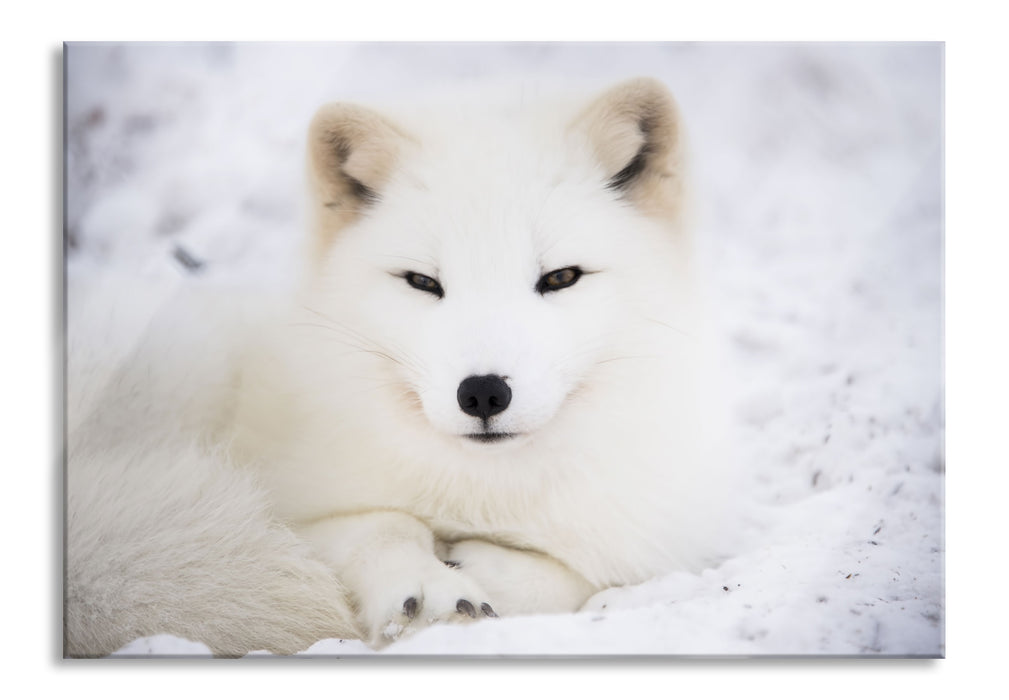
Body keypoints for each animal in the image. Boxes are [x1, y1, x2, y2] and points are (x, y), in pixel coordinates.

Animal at [65, 76, 736, 656]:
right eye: (422, 282)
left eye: (561, 277)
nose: (483, 393)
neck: (483, 493)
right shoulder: (293, 509)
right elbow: (378, 525)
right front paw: (431, 589)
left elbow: (577, 576)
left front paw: (483, 570)